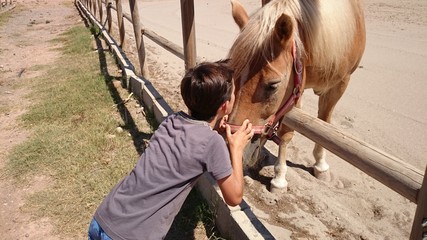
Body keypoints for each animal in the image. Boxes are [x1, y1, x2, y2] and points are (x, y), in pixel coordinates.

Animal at [227, 0, 368, 192]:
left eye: (272, 85)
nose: (231, 149)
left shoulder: (338, 84)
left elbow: (324, 123)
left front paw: (320, 164)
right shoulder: (298, 84)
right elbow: (287, 132)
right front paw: (279, 176)